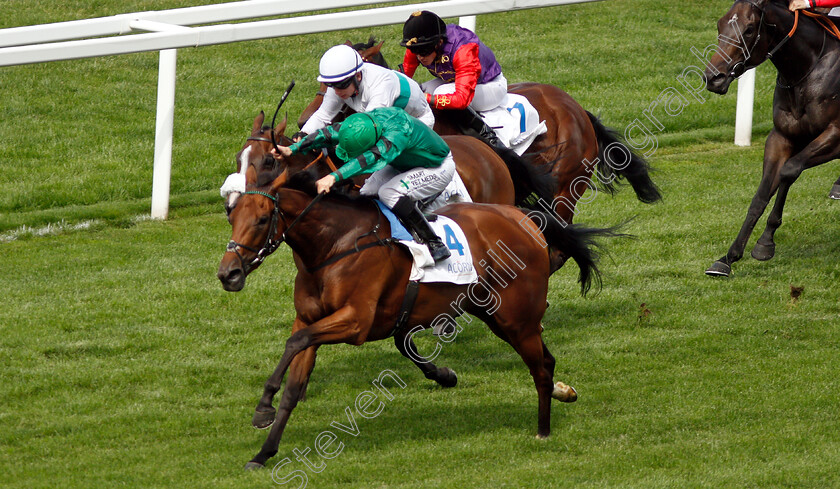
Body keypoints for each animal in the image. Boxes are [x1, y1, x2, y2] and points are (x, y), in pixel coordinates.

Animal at [217, 169, 612, 468]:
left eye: (262, 219)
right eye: (230, 215)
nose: (228, 274)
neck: (335, 244)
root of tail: (521, 218)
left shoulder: (355, 322)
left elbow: (293, 342)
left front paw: (262, 407)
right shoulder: (309, 320)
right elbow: (294, 381)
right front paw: (264, 451)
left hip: (516, 319)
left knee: (540, 367)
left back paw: (543, 429)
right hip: (497, 316)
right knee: (547, 359)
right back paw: (562, 393)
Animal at [704, 0, 840, 274]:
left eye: (749, 30)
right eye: (719, 25)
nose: (713, 78)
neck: (807, 70)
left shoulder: (837, 134)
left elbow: (790, 170)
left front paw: (765, 243)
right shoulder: (780, 137)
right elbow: (761, 194)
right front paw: (728, 257)